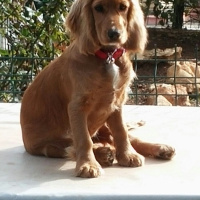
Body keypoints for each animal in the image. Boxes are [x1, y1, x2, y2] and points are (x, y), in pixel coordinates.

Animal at [19, 0, 174, 178]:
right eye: (98, 8)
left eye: (123, 7)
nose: (114, 33)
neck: (108, 57)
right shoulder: (77, 107)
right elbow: (83, 139)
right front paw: (88, 165)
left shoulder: (116, 103)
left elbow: (122, 132)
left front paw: (127, 155)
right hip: (48, 146)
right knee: (72, 148)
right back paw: (103, 153)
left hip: (103, 125)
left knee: (127, 138)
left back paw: (160, 148)